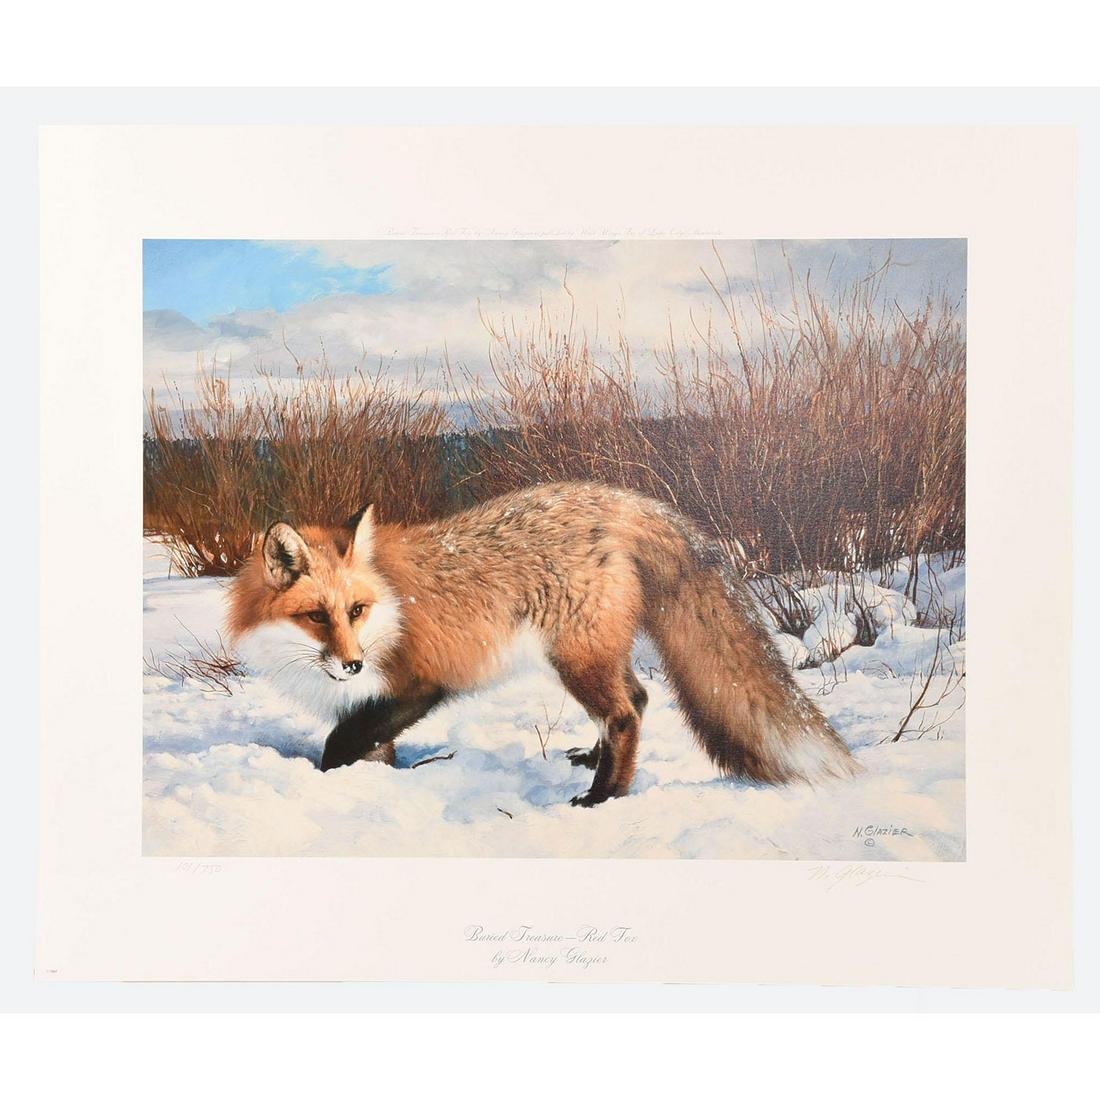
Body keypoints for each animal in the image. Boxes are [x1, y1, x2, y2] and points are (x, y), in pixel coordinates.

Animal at [226, 482, 857, 806]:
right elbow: (369, 748)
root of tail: (622, 500)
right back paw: (594, 763)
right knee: (638, 699)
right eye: (316, 616)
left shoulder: (420, 684)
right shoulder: (371, 703)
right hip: (594, 654)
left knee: (626, 713)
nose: (354, 665)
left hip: (575, 658)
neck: (388, 615)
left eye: (356, 611)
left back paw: (605, 795)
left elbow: (340, 744)